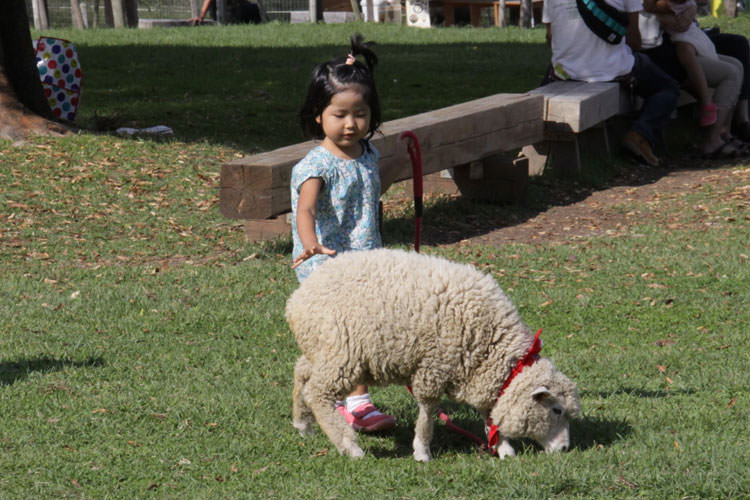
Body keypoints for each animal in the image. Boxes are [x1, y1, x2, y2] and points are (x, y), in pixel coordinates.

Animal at [288, 248, 580, 462]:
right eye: (556, 410)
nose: (565, 449)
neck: (493, 348)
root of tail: (297, 300)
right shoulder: (434, 366)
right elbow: (428, 411)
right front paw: (422, 451)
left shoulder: (479, 374)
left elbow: (489, 413)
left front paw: (504, 448)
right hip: (342, 353)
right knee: (318, 394)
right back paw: (350, 446)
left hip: (321, 350)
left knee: (301, 375)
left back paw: (303, 424)